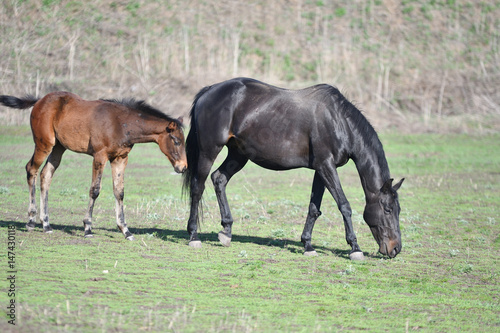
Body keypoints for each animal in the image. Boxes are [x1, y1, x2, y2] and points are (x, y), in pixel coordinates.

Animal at [0, 92, 188, 240]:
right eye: (176, 141)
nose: (183, 167)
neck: (121, 123)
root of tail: (40, 100)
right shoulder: (100, 156)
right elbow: (95, 190)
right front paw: (88, 228)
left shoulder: (120, 158)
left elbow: (119, 192)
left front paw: (125, 230)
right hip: (44, 143)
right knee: (31, 169)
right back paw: (31, 221)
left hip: (59, 147)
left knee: (45, 175)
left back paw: (46, 224)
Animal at [182, 78, 404, 260]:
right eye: (387, 209)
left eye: (398, 209)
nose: (395, 248)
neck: (339, 122)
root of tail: (209, 91)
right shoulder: (326, 166)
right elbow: (344, 205)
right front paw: (355, 248)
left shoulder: (321, 169)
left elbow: (314, 208)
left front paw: (307, 245)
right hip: (209, 151)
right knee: (197, 188)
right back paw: (193, 235)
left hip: (238, 154)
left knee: (219, 179)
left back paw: (226, 231)